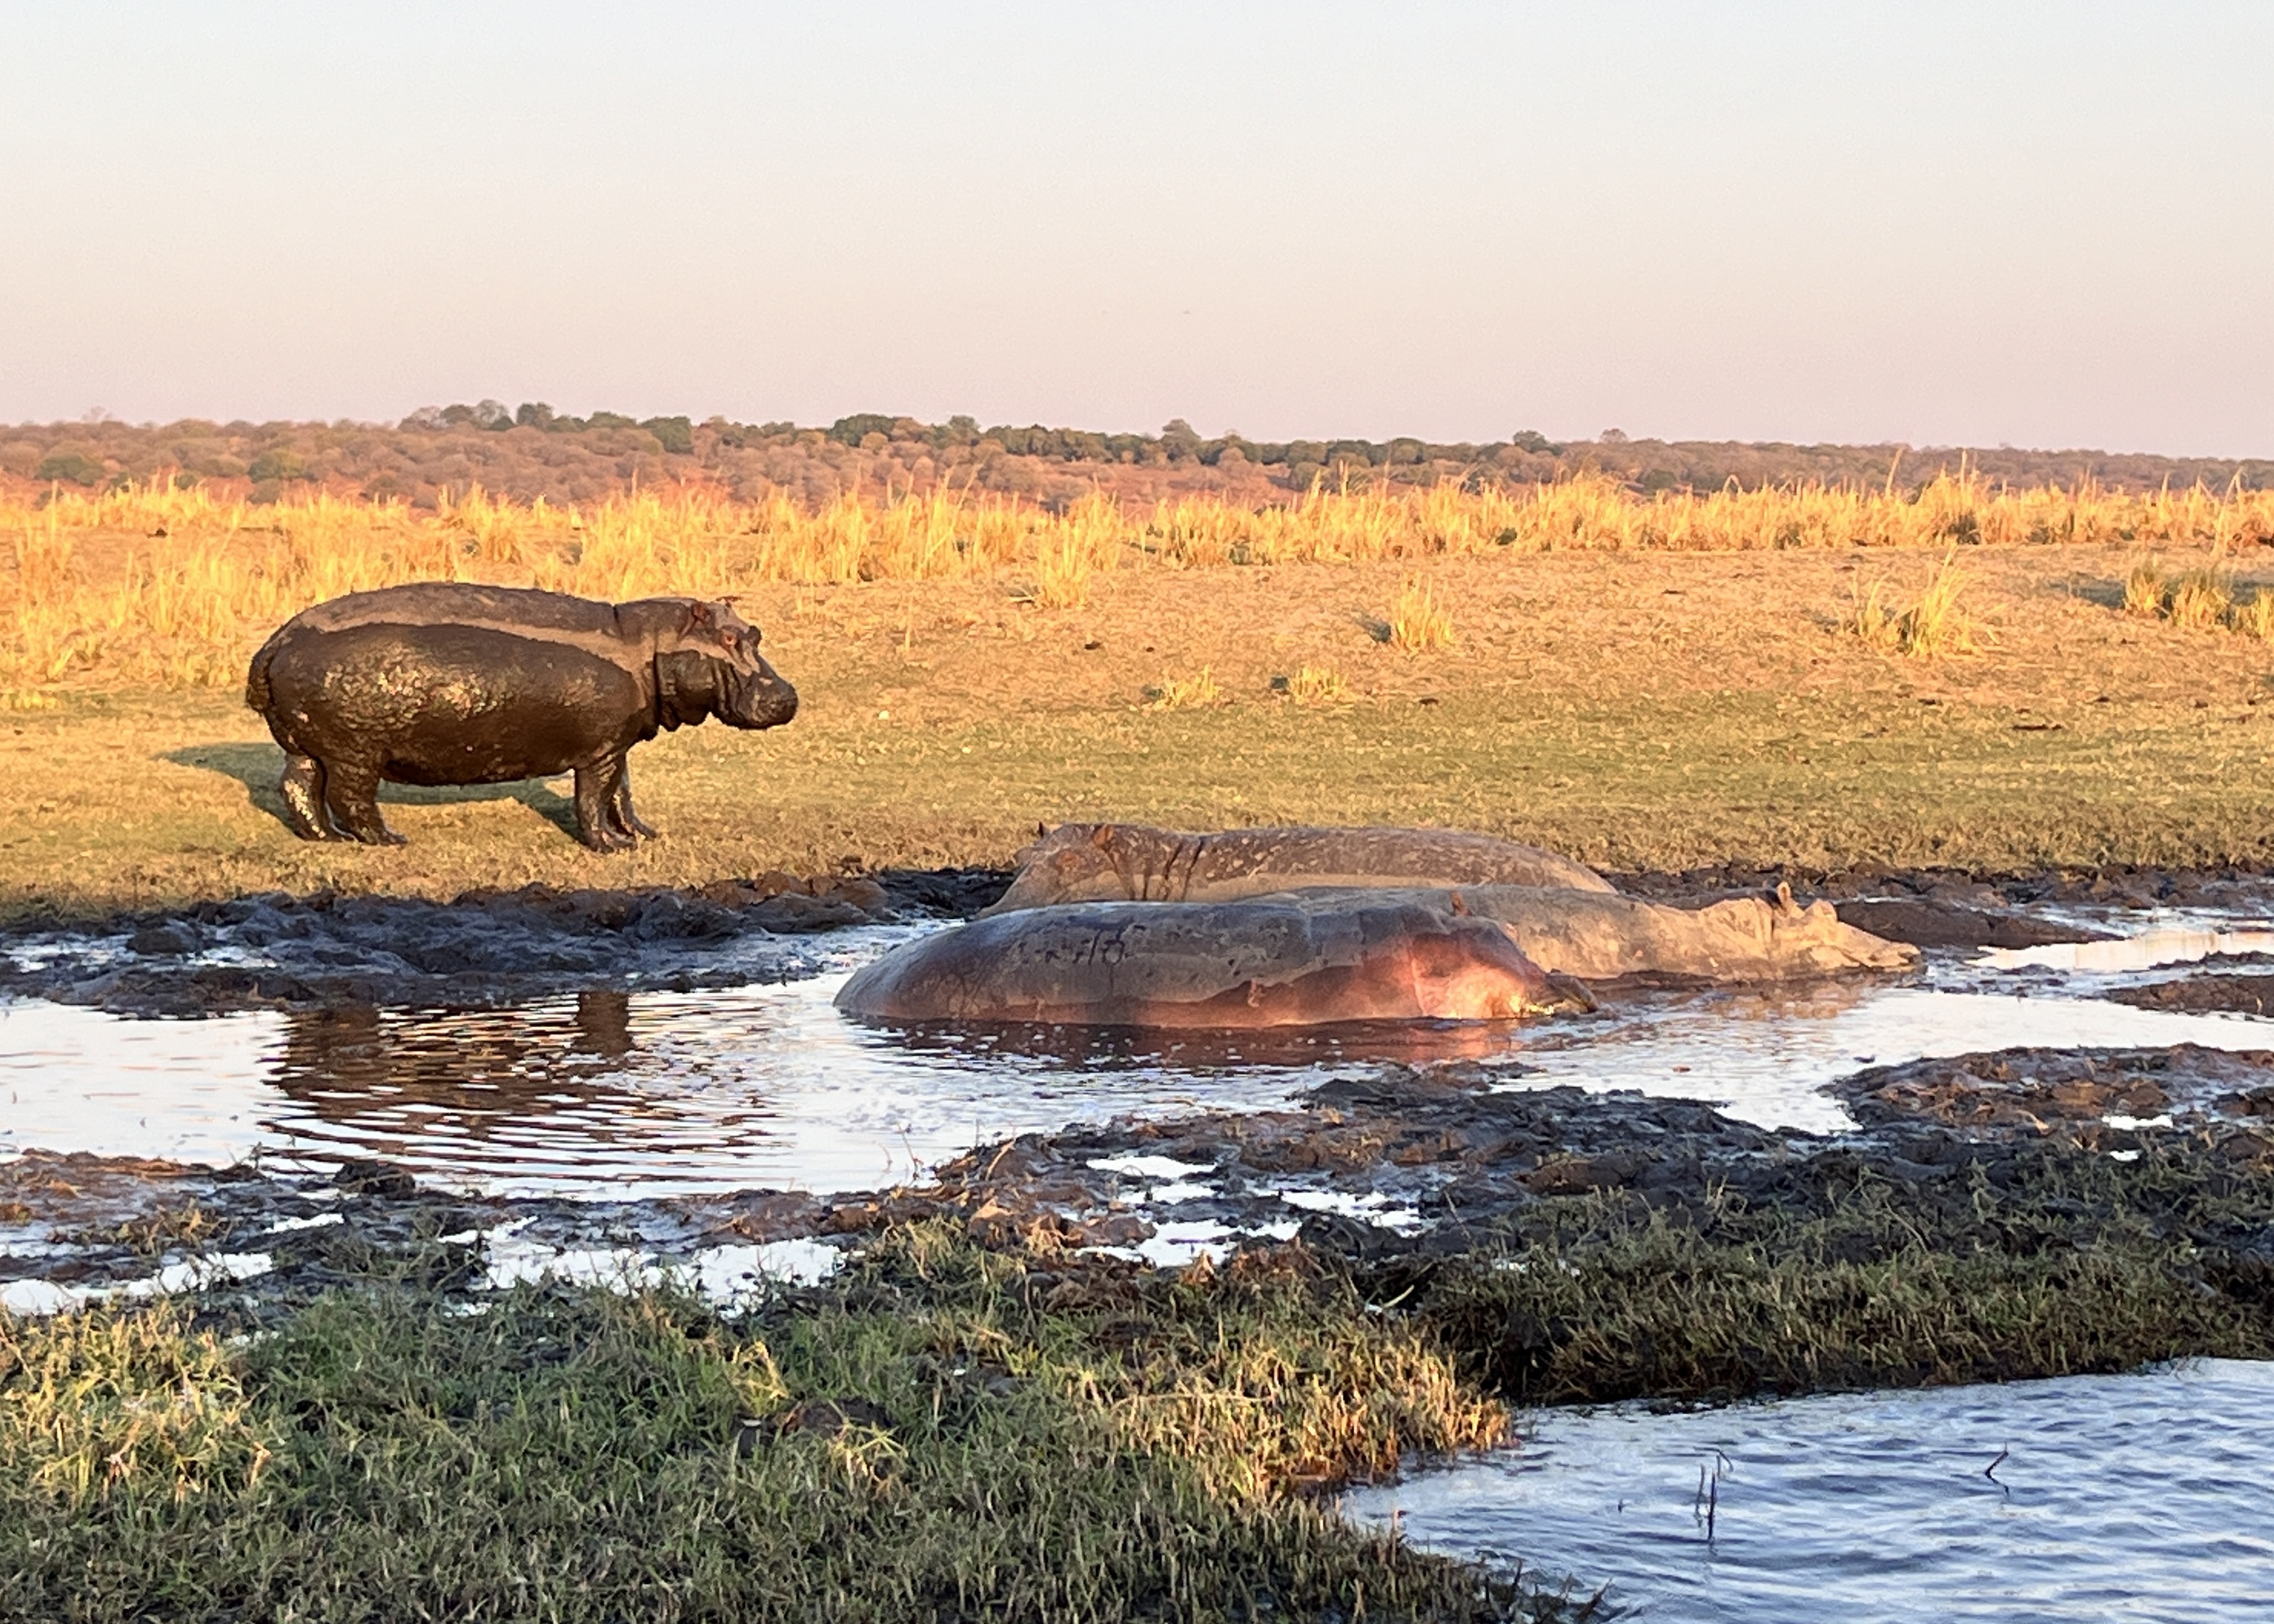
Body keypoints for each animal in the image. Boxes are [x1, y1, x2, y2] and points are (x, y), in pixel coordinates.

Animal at [243, 582, 796, 850]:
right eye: (729, 638)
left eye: (755, 632)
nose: (788, 696)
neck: (648, 645)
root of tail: (278, 640)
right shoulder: (598, 752)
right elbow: (593, 800)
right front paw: (614, 847)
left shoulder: (615, 745)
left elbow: (622, 793)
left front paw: (643, 835)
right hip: (357, 753)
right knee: (350, 798)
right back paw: (390, 840)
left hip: (309, 746)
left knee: (299, 788)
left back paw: (327, 839)